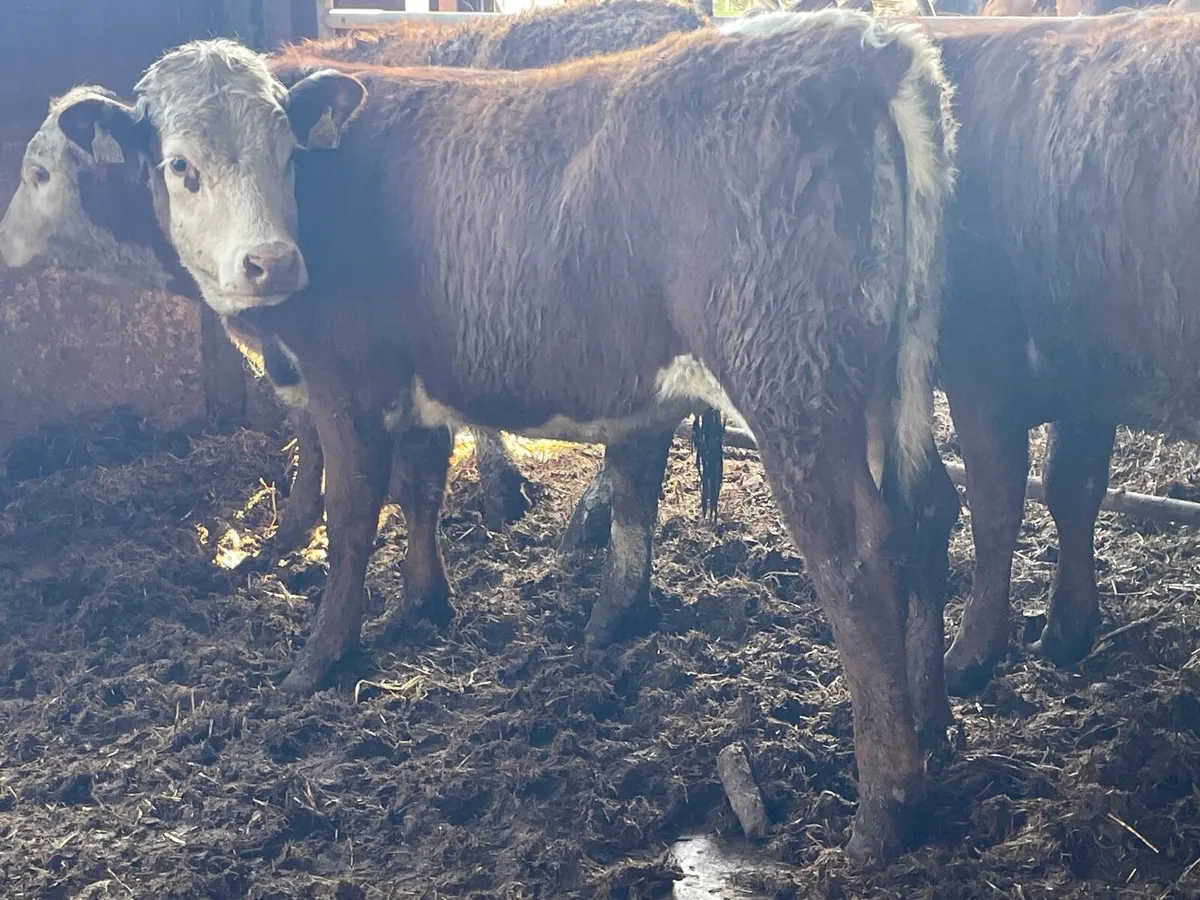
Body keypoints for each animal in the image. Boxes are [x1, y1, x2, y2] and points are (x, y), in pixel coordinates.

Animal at [53, 11, 959, 861]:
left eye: (286, 154)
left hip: (793, 387)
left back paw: (886, 809)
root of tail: (862, 42)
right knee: (928, 514)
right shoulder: (416, 384)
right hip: (892, 384)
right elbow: (420, 487)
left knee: (856, 558)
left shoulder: (349, 380)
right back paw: (934, 729)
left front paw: (319, 659)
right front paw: (423, 605)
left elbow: (353, 518)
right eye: (181, 165)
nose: (271, 262)